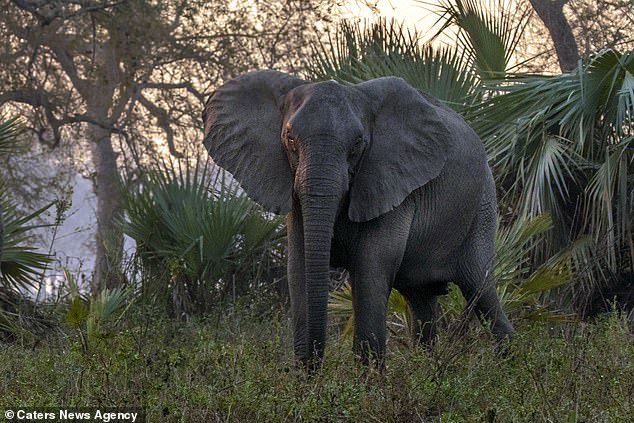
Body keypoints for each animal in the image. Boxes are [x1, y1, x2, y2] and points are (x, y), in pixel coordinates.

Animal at [202, 70, 512, 368]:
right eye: (289, 139)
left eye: (358, 144)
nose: (315, 368)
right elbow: (299, 264)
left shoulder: (391, 179)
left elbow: (371, 263)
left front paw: (368, 381)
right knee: (422, 303)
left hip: (482, 207)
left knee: (480, 288)